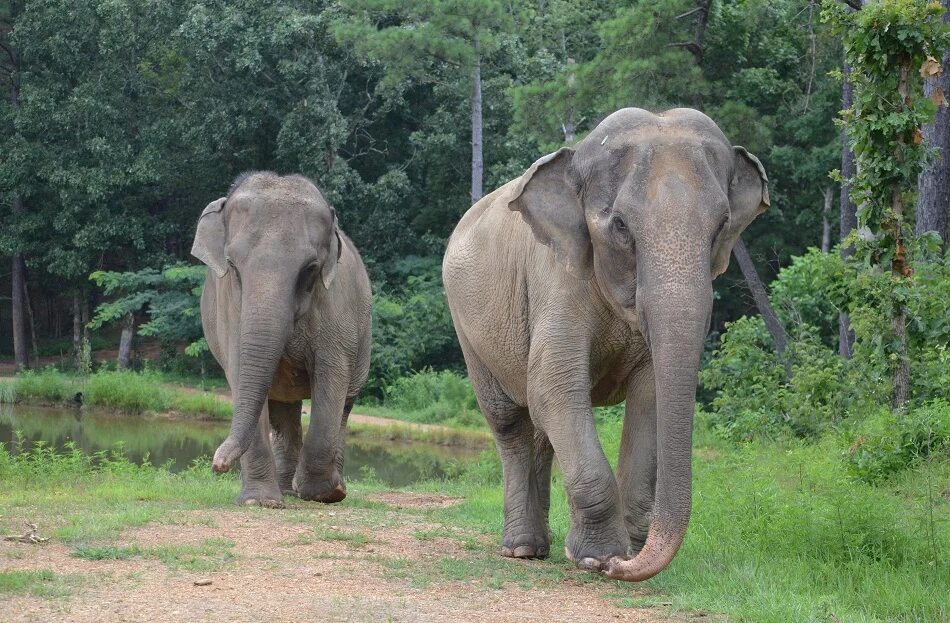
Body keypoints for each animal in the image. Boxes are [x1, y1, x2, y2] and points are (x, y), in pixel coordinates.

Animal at [192, 171, 372, 508]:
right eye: (232, 266)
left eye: (310, 269)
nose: (217, 463)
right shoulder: (229, 308)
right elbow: (240, 372)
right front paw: (259, 502)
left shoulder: (335, 307)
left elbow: (332, 375)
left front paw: (321, 493)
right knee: (283, 412)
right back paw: (287, 490)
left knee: (344, 405)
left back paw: (331, 488)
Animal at [442, 107, 768, 580]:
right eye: (620, 226)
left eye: (722, 226)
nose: (621, 566)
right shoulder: (557, 277)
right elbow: (555, 388)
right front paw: (598, 558)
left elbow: (650, 396)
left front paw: (626, 551)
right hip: (467, 325)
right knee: (509, 421)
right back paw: (521, 549)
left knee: (539, 430)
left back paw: (539, 547)